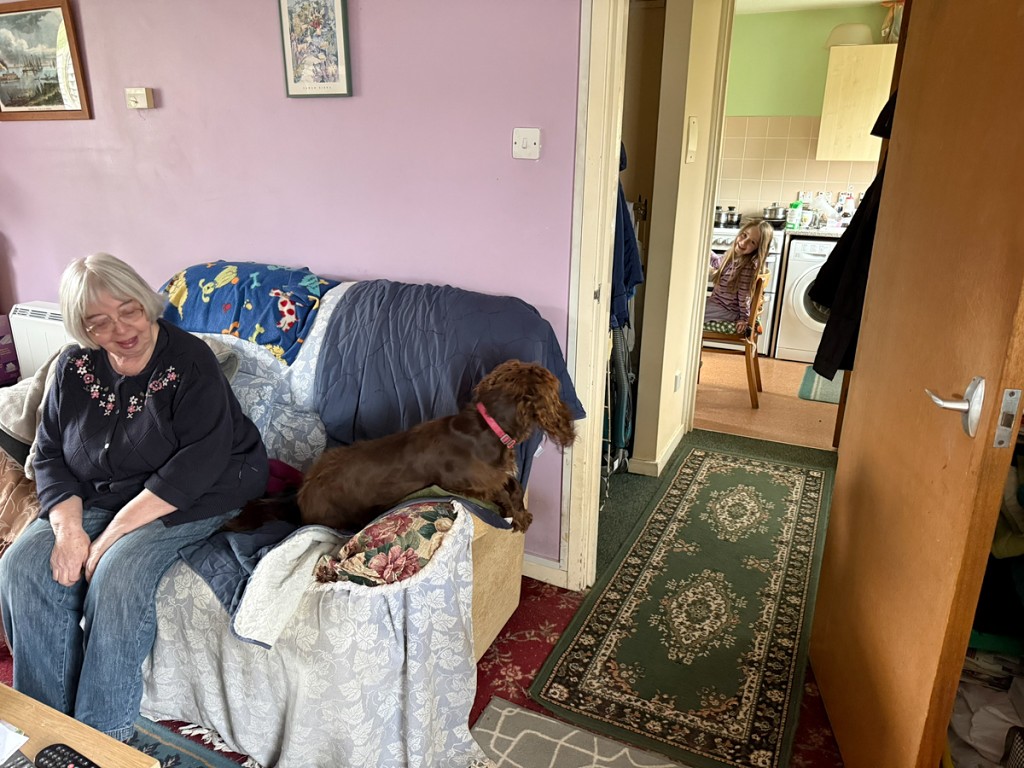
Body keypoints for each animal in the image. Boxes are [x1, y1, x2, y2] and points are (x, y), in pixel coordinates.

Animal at [297, 359, 576, 533]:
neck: (488, 427)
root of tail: (304, 493)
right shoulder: (468, 484)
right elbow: (500, 493)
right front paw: (517, 517)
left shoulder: (496, 474)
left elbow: (514, 486)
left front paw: (521, 512)